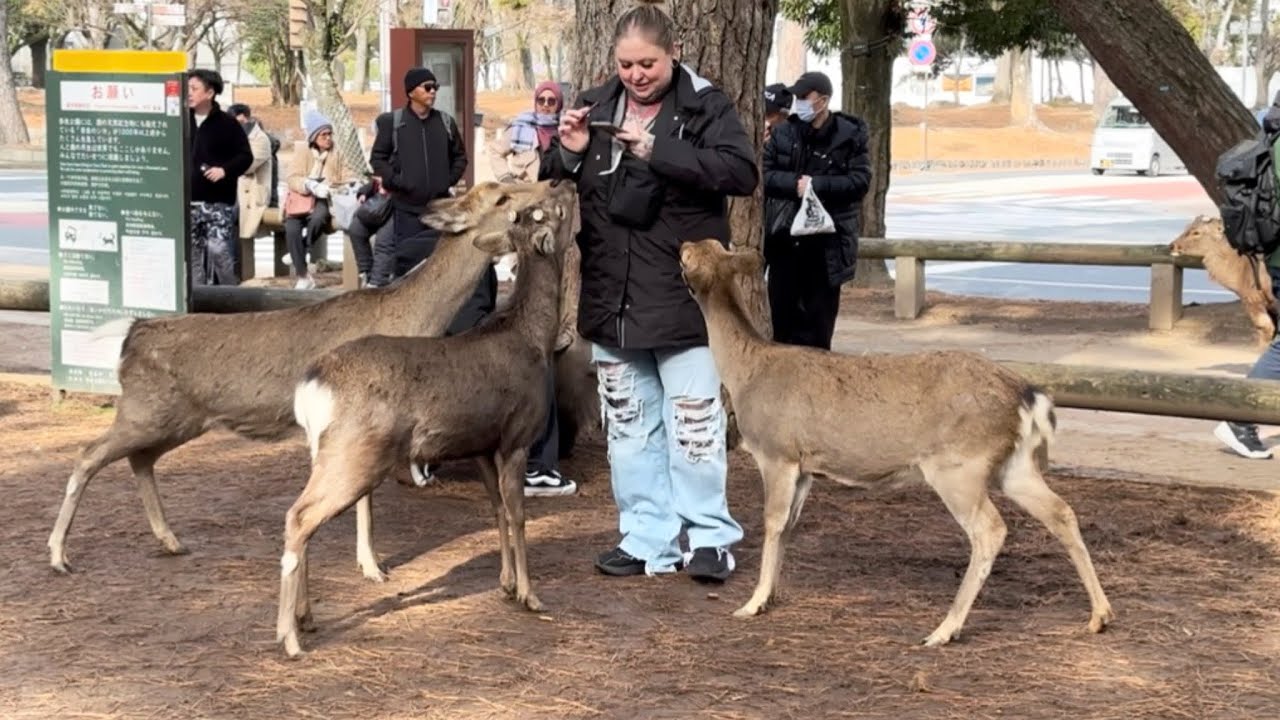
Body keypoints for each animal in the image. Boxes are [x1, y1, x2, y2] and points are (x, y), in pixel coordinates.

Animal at [48, 180, 575, 582]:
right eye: (502, 197)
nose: (553, 183)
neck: (412, 318)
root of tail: (131, 333)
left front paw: (369, 563)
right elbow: (362, 500)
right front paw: (372, 567)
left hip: (174, 419)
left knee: (139, 459)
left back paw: (170, 540)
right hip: (146, 409)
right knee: (87, 455)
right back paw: (58, 555)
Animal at [278, 187, 576, 658]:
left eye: (537, 210)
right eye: (553, 211)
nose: (566, 183)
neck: (532, 339)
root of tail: (310, 387)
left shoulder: (482, 444)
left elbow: (497, 510)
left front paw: (506, 584)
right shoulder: (516, 437)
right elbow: (518, 514)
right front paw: (531, 595)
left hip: (324, 452)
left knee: (303, 518)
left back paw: (305, 619)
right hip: (354, 454)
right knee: (299, 516)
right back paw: (289, 637)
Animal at [678, 239, 1114, 647]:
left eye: (691, 255)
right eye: (712, 246)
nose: (682, 244)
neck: (745, 373)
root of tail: (1027, 396)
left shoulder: (776, 451)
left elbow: (772, 522)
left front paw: (751, 604)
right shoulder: (806, 466)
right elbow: (788, 527)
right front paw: (769, 597)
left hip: (958, 465)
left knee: (990, 529)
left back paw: (944, 629)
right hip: (1015, 464)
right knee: (1061, 511)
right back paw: (1100, 615)